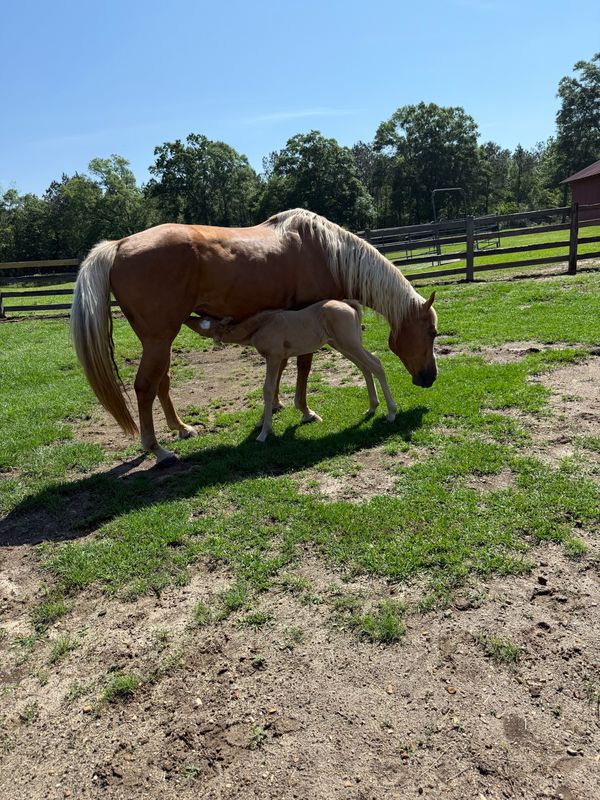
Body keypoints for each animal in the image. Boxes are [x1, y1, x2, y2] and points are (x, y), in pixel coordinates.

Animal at [185, 299, 397, 442]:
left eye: (204, 323)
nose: (187, 317)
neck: (261, 325)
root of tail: (351, 306)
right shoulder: (277, 358)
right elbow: (272, 388)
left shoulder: (274, 356)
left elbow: (268, 388)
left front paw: (264, 433)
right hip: (342, 345)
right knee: (365, 367)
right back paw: (372, 407)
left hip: (349, 343)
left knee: (376, 364)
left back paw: (391, 413)